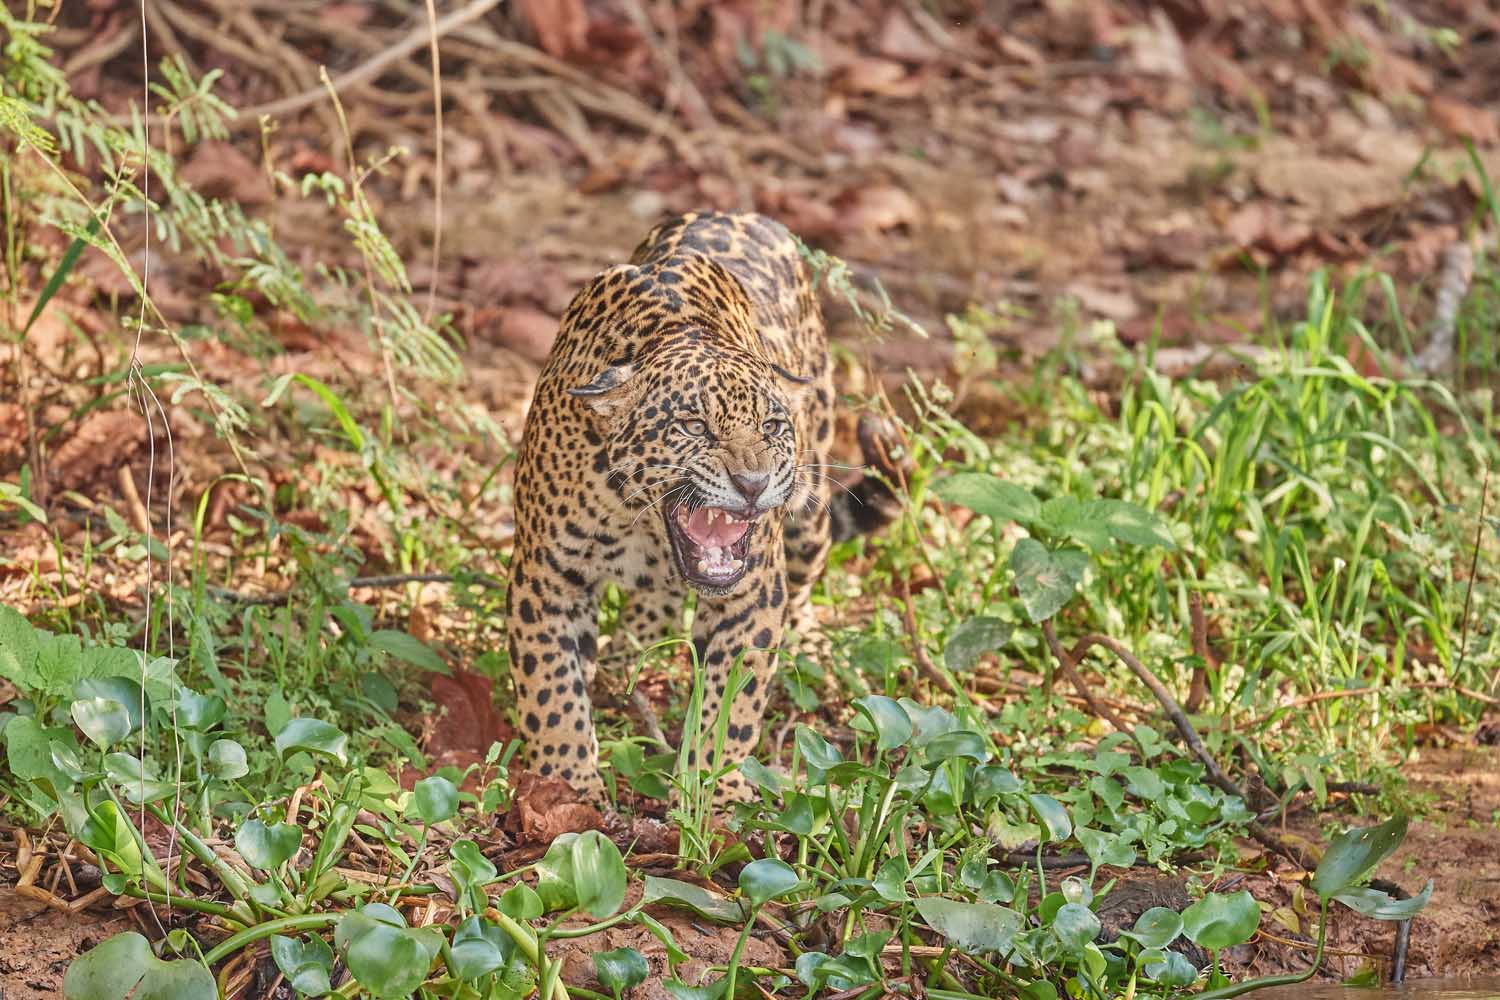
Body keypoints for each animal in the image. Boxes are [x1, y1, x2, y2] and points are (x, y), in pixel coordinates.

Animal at [505, 211, 904, 805]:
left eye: (772, 426)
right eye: (694, 427)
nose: (753, 484)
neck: (640, 520)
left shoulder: (755, 591)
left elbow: (731, 703)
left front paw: (713, 790)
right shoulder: (544, 576)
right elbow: (550, 689)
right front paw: (567, 785)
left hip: (808, 514)